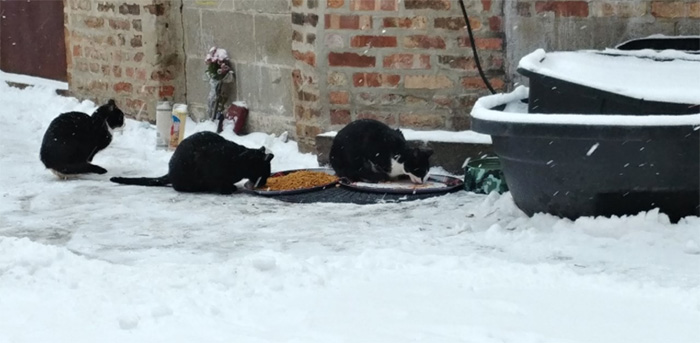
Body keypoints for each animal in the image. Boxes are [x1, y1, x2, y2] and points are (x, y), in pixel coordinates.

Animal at [110, 132, 272, 195]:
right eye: (265, 174)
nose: (264, 182)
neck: (238, 160)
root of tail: (169, 173)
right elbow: (219, 185)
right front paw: (228, 189)